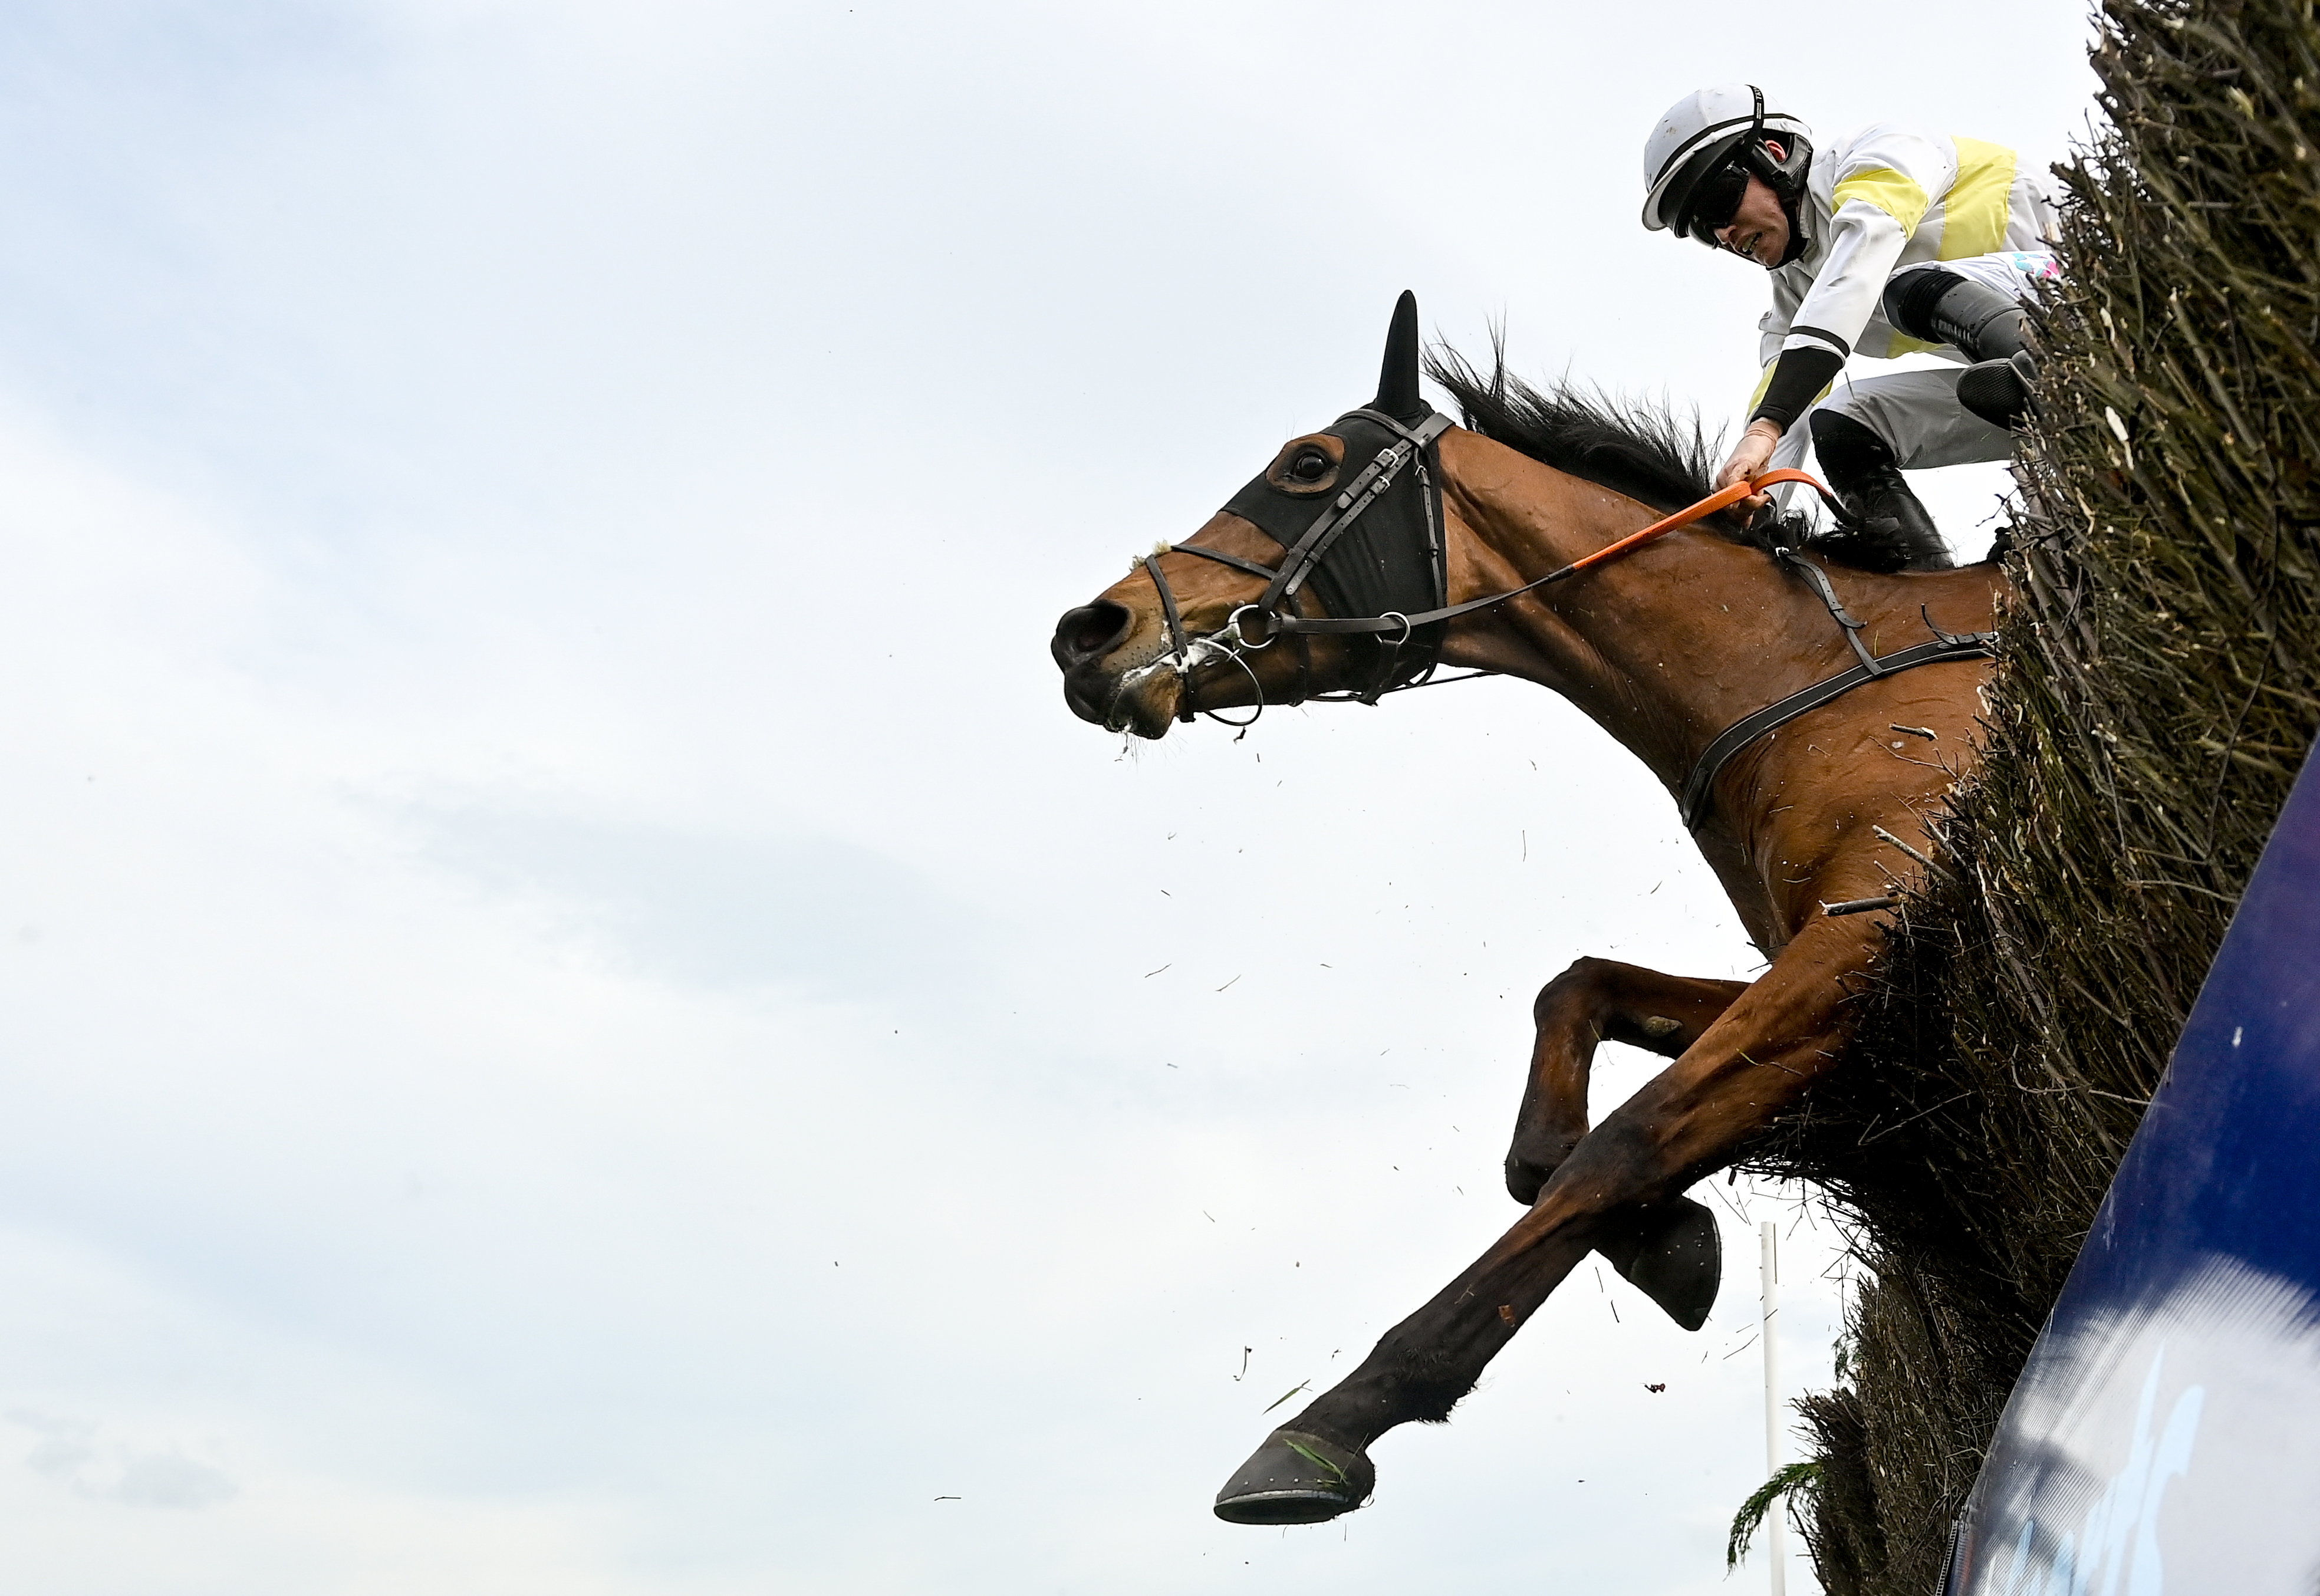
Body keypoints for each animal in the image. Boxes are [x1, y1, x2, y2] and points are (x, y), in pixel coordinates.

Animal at [1053, 293, 2013, 1531]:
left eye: (1308, 465)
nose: (1088, 631)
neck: (1810, 670)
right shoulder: (1817, 953)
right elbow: (1574, 1012)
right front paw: (1663, 1237)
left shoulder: (1868, 932)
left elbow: (1622, 1144)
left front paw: (1335, 1423)